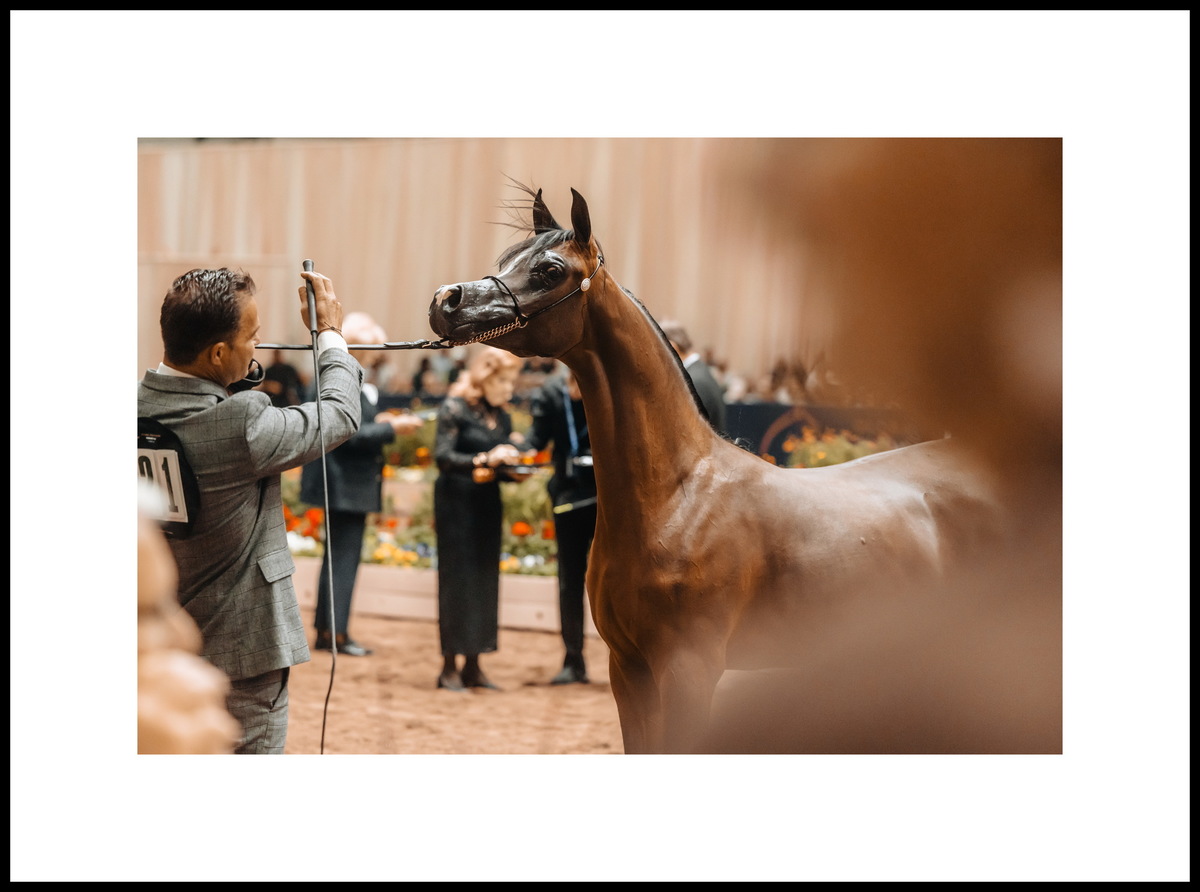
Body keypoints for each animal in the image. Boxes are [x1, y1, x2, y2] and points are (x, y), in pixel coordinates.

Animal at [428, 183, 1009, 754]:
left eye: (550, 270)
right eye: (508, 259)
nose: (446, 300)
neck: (677, 497)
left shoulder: (689, 670)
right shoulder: (627, 669)